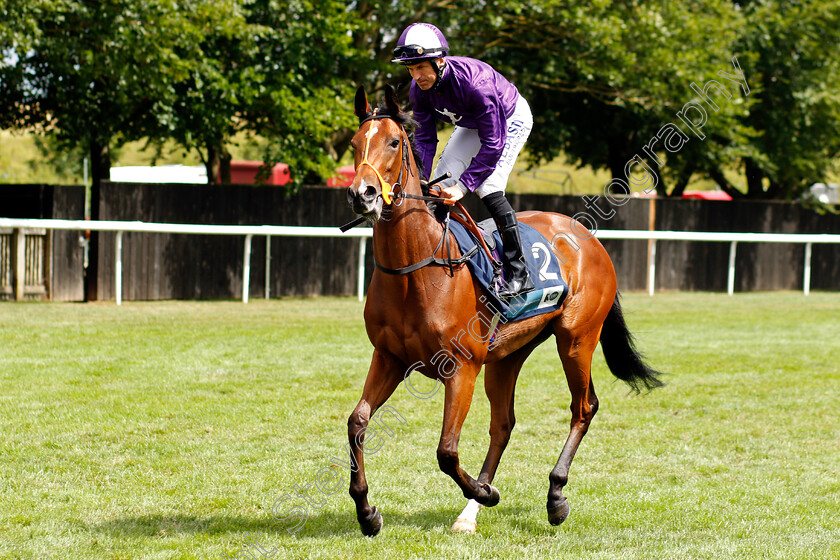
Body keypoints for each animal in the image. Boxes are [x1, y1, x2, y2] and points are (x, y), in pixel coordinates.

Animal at [342, 85, 664, 536]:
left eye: (392, 142)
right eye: (355, 143)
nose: (363, 194)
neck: (417, 268)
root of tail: (588, 237)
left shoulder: (461, 368)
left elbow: (446, 450)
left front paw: (486, 492)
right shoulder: (389, 357)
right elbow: (357, 423)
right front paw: (367, 510)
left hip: (577, 338)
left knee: (583, 407)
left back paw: (554, 496)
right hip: (507, 356)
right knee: (503, 423)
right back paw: (469, 513)